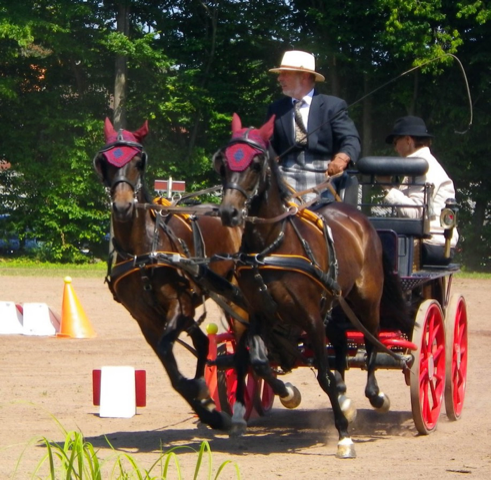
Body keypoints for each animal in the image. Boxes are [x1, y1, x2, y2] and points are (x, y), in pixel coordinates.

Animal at [92, 117, 244, 432]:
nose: (123, 206)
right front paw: (207, 406)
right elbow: (170, 364)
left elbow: (167, 348)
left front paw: (204, 396)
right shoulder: (145, 318)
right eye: (105, 161)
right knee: (203, 343)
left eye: (139, 161)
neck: (142, 250)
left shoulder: (180, 303)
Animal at [213, 112, 410, 458]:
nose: (229, 212)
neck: (271, 246)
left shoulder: (311, 318)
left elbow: (323, 373)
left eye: (256, 163)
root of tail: (358, 217)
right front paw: (289, 393)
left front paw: (344, 435)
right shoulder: (260, 315)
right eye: (223, 162)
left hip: (367, 299)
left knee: (372, 342)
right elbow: (259, 362)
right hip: (336, 303)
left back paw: (375, 395)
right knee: (341, 343)